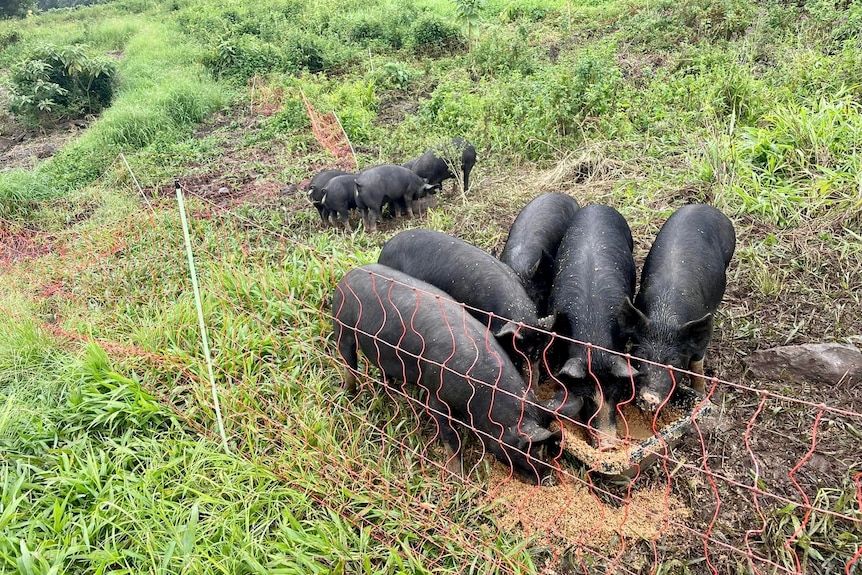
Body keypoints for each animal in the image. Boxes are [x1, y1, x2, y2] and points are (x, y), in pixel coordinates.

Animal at [332, 266, 568, 486]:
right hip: (342, 327)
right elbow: (451, 437)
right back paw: (347, 395)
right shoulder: (435, 395)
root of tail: (349, 275)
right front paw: (457, 477)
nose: (549, 480)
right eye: (532, 452)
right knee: (348, 363)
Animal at [620, 202, 736, 410]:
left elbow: (697, 366)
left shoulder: (701, 341)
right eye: (641, 355)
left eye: (673, 360)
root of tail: (704, 206)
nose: (650, 396)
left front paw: (701, 393)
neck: (665, 317)